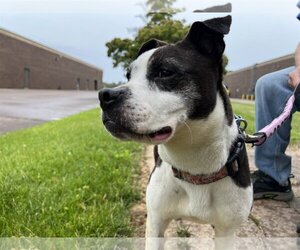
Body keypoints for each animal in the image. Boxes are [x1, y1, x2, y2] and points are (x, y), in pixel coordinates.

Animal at [99, 15, 253, 244]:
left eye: (164, 72)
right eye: (128, 76)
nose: (105, 95)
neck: (194, 163)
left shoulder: (226, 232)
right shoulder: (155, 224)